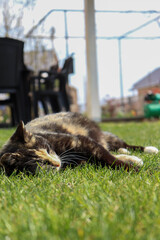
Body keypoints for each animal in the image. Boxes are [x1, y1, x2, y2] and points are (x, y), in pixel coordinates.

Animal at [0, 111, 158, 175]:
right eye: (40, 164)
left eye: (47, 149)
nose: (57, 163)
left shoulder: (81, 141)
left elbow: (108, 157)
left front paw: (140, 171)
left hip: (106, 136)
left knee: (121, 145)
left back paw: (148, 150)